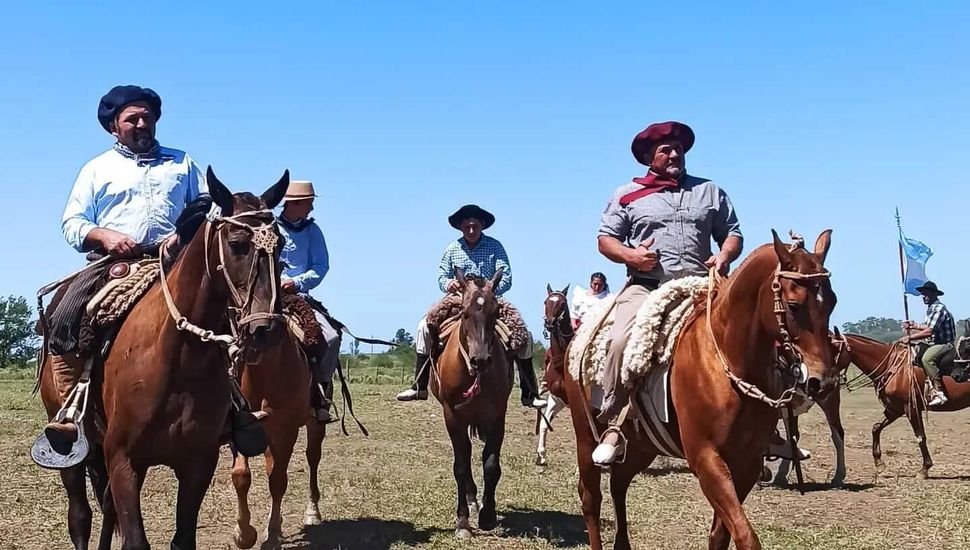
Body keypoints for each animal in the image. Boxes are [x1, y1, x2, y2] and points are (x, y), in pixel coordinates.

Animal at [36, 169, 292, 550]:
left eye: (282, 246)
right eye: (236, 243)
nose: (266, 329)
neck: (178, 358)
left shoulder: (197, 463)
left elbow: (181, 537)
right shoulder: (124, 460)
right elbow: (133, 539)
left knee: (106, 509)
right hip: (71, 448)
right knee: (80, 515)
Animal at [430, 268, 510, 540]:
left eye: (495, 313)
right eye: (464, 313)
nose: (480, 360)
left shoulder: (497, 417)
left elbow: (491, 465)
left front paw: (488, 516)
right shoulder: (453, 417)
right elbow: (461, 466)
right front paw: (463, 522)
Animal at [564, 232, 836, 550]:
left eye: (832, 301)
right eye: (793, 305)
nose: (822, 380)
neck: (729, 360)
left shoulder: (747, 463)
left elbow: (721, 534)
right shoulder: (706, 459)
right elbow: (744, 535)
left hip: (643, 445)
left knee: (619, 481)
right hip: (585, 437)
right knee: (591, 499)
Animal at [832, 326, 968, 480]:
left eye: (834, 348)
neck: (891, 366)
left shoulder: (911, 408)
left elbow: (920, 436)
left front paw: (924, 469)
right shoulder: (895, 409)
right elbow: (876, 427)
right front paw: (879, 463)